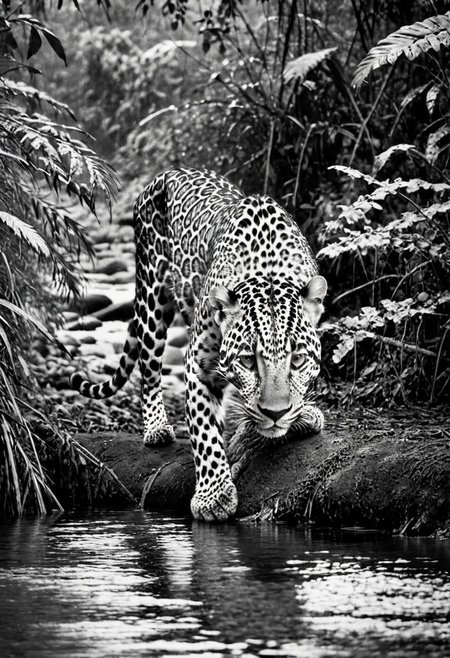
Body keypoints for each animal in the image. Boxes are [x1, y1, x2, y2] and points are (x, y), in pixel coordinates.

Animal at [71, 167, 327, 521]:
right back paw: (157, 428)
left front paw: (298, 416)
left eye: (298, 360)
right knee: (149, 368)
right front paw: (213, 497)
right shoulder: (198, 367)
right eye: (248, 361)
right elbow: (204, 434)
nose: (276, 413)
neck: (268, 267)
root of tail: (168, 172)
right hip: (152, 298)